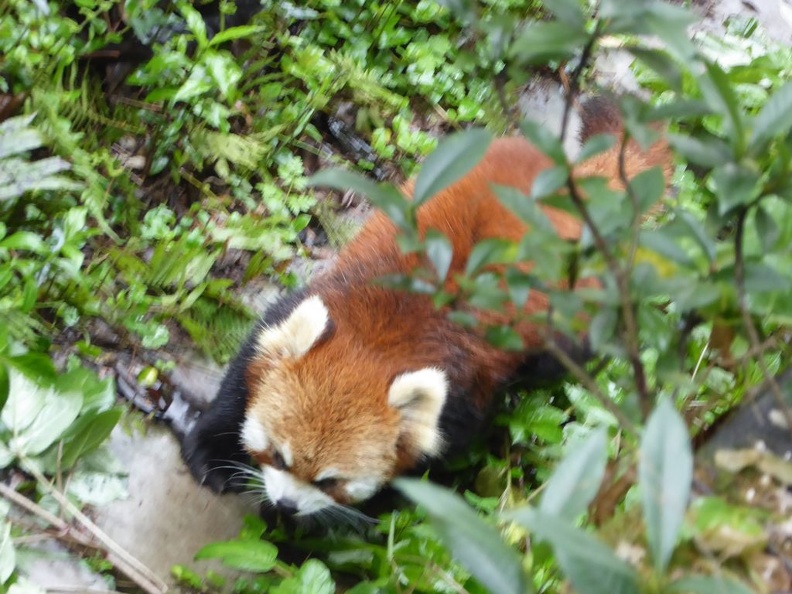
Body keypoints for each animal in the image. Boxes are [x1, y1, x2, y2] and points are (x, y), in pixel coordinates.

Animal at [183, 99, 672, 520]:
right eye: (278, 456)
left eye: (330, 481)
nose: (287, 505)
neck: (376, 338)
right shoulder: (311, 302)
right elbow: (245, 372)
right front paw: (212, 449)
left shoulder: (461, 398)